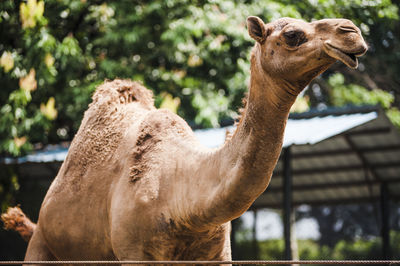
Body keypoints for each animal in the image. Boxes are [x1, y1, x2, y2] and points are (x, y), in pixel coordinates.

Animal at [1, 16, 368, 264]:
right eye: (292, 35)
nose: (352, 32)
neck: (183, 199)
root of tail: (38, 220)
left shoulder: (217, 254)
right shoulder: (134, 253)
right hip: (42, 247)